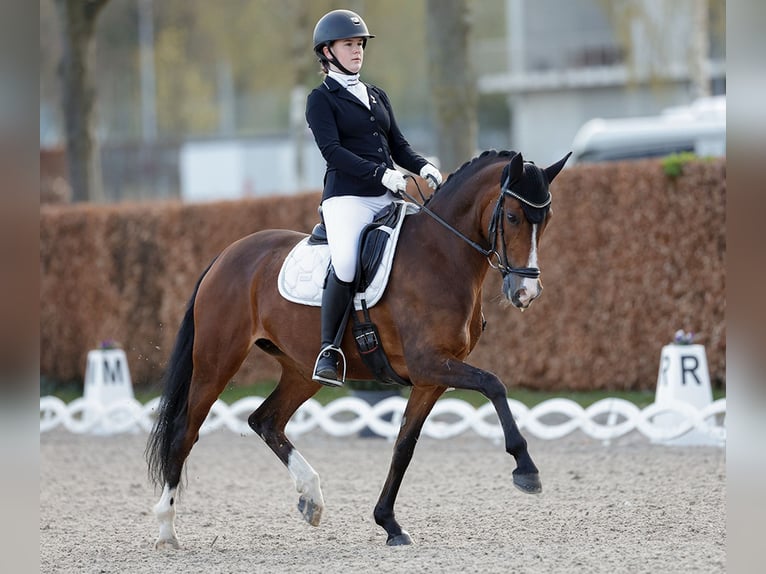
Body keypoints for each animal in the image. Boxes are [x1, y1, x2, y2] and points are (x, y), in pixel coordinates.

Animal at [147, 147, 572, 548]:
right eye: (513, 217)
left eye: (548, 219)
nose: (526, 292)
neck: (441, 255)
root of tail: (226, 254)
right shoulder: (430, 363)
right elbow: (494, 384)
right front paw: (526, 468)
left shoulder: (431, 378)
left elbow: (404, 446)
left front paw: (389, 523)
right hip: (217, 361)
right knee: (185, 431)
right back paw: (167, 529)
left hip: (303, 370)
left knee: (266, 420)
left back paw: (311, 498)